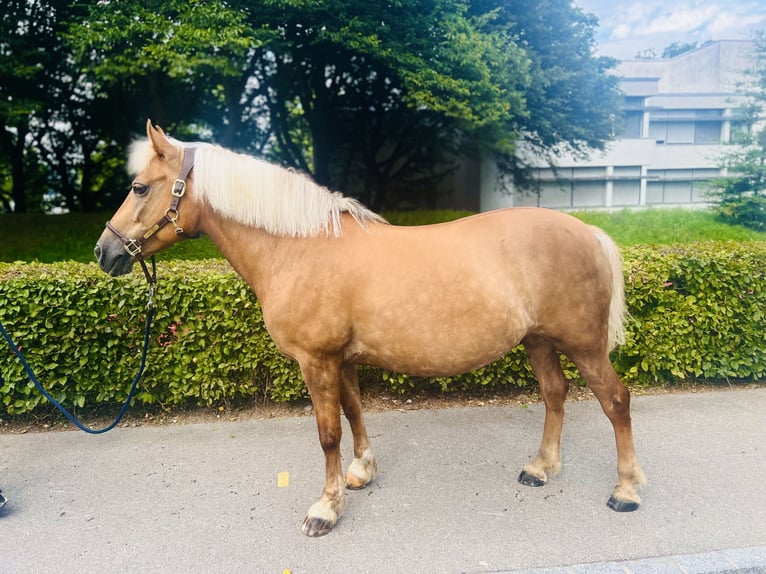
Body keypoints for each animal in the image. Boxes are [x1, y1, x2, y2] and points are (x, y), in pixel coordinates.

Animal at [96, 121, 648, 540]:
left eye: (140, 187)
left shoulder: (316, 360)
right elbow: (355, 413)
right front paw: (361, 472)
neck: (299, 247)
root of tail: (588, 231)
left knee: (615, 401)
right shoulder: (339, 360)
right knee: (555, 394)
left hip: (583, 344)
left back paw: (625, 490)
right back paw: (540, 468)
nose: (106, 251)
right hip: (538, 341)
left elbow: (327, 434)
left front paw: (325, 508)